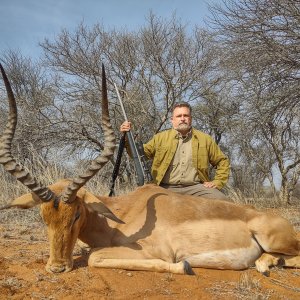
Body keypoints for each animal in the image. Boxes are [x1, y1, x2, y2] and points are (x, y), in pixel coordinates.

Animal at [0, 63, 298, 276]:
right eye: (43, 217)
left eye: (76, 215)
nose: (57, 268)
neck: (122, 214)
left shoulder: (154, 252)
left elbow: (95, 256)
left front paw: (184, 266)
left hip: (275, 240)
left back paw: (264, 265)